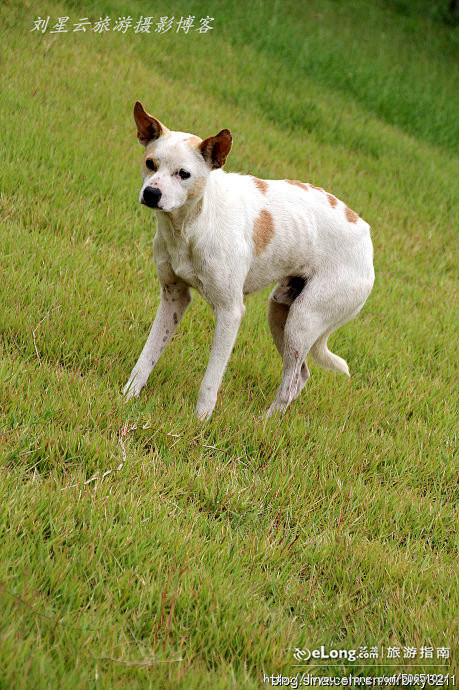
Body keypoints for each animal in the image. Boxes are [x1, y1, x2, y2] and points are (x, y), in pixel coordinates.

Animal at [124, 99, 376, 416]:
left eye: (184, 174)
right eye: (150, 164)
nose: (151, 193)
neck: (193, 224)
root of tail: (366, 235)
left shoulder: (230, 312)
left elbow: (210, 381)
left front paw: (200, 420)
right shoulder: (174, 298)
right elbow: (146, 357)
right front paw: (127, 397)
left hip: (302, 321)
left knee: (290, 383)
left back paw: (264, 422)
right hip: (280, 312)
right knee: (301, 375)